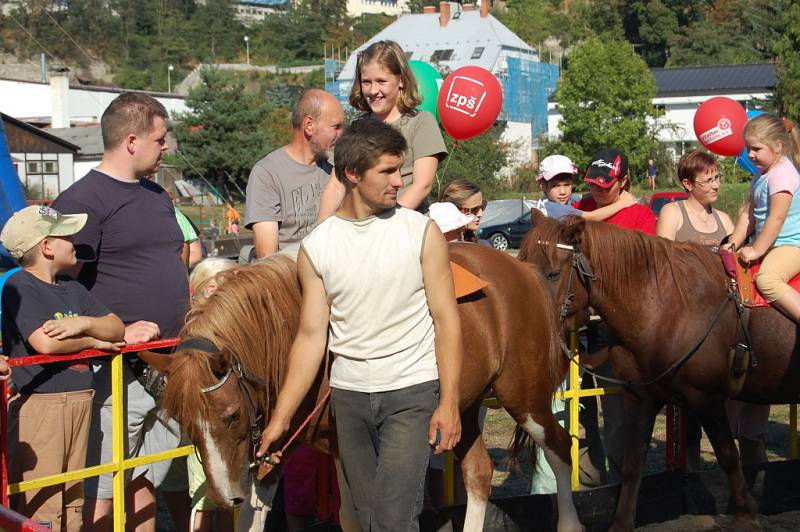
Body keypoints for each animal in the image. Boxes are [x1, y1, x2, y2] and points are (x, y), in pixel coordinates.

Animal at [141, 247, 584, 528]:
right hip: (459, 411)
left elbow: (355, 514)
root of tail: (521, 269)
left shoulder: (345, 443)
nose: (225, 496)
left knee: (560, 448)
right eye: (184, 424)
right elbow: (256, 513)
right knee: (478, 473)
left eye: (231, 415)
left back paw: (570, 523)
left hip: (524, 397)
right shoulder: (275, 442)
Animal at [520, 211, 796, 532]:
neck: (667, 305)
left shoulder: (707, 399)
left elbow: (728, 455)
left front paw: (744, 516)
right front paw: (621, 522)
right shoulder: (641, 398)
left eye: (552, 274)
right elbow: (632, 464)